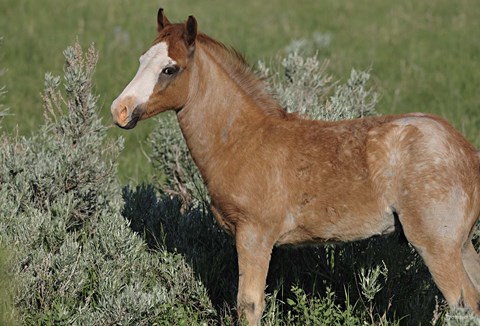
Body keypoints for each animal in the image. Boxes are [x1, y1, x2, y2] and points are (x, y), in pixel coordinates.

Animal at [112, 8, 480, 324]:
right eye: (141, 60)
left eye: (169, 69)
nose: (120, 109)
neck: (241, 139)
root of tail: (467, 151)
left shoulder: (254, 235)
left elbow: (248, 304)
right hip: (461, 244)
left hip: (438, 246)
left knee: (462, 305)